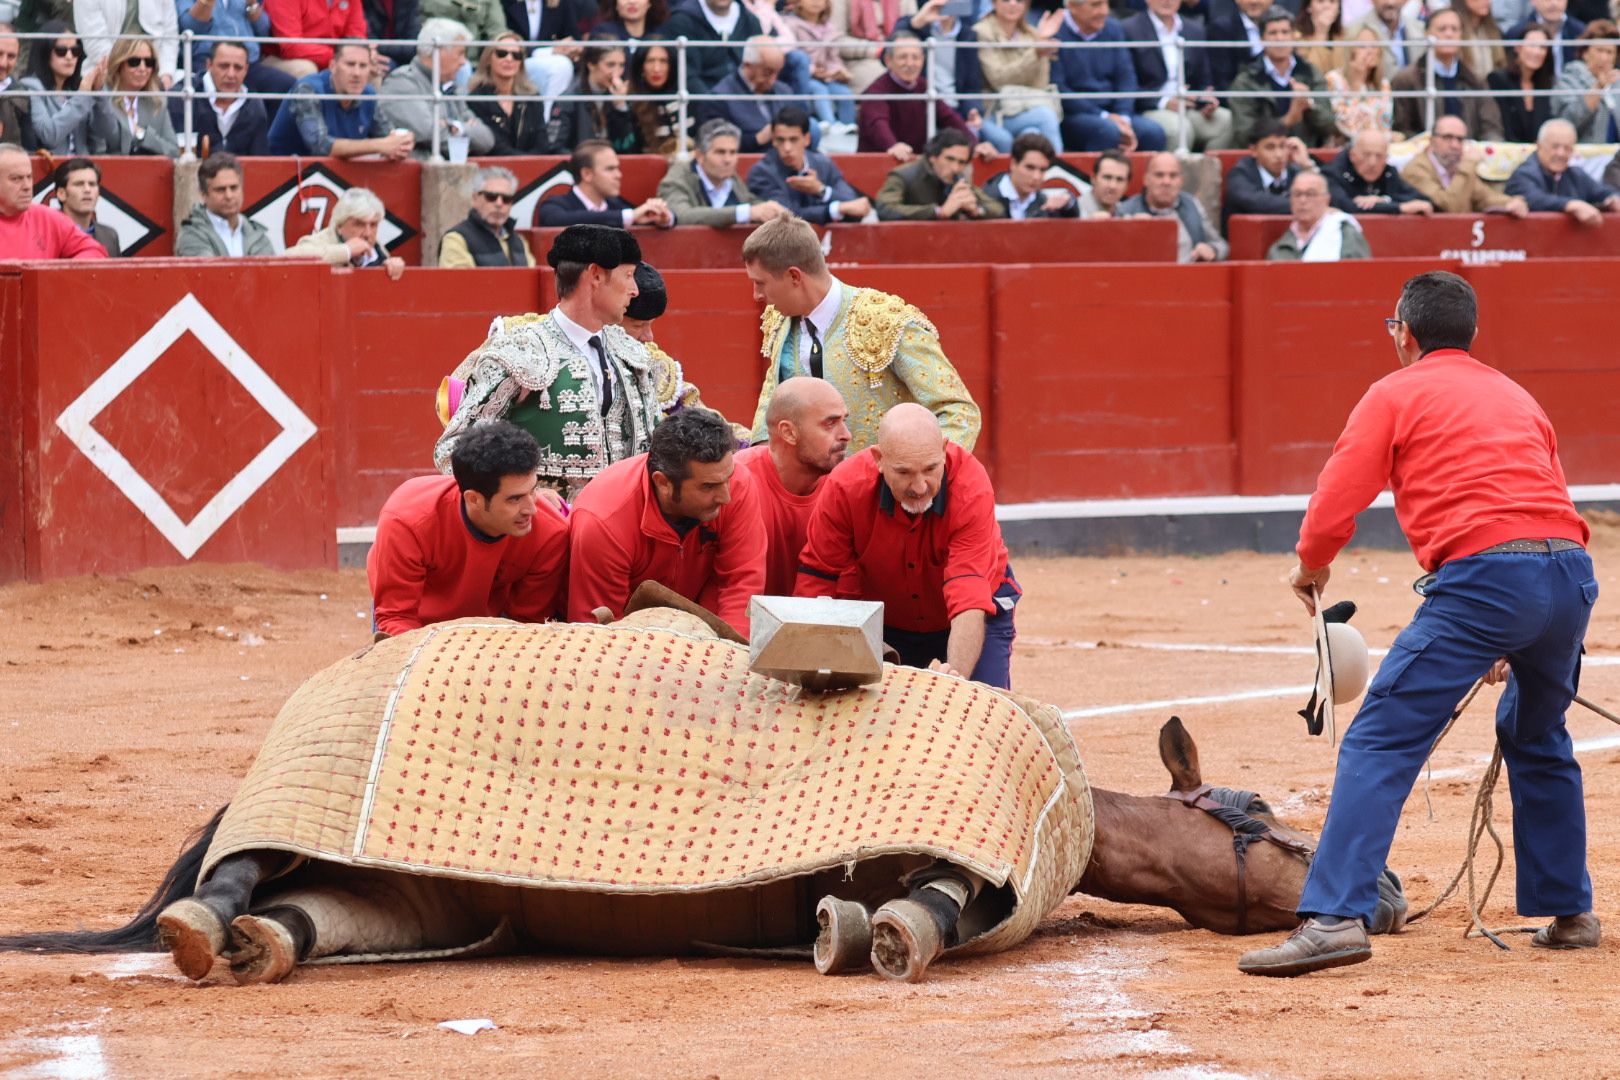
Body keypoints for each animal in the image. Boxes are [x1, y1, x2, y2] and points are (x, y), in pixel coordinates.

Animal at [0, 608, 1406, 977]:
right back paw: (202, 930)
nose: (1389, 890)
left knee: (306, 916)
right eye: (1263, 821)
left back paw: (244, 948)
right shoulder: (959, 845)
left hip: (409, 888)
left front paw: (844, 930)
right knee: (235, 873)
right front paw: (874, 935)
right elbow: (935, 904)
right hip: (312, 821)